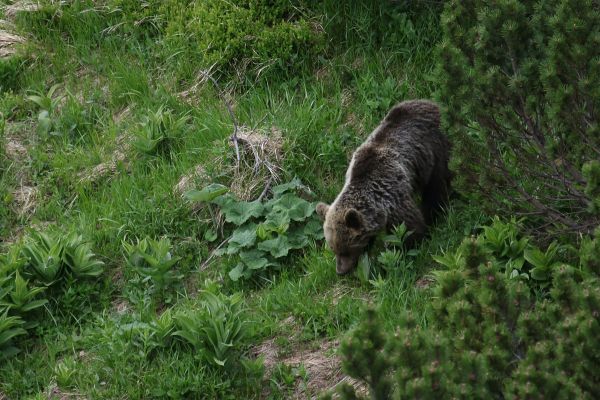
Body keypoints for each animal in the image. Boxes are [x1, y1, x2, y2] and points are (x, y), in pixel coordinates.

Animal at [318, 100, 450, 276]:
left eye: (345, 250)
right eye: (333, 249)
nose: (340, 271)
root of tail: (431, 104)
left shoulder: (394, 197)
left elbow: (407, 229)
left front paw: (397, 256)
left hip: (431, 152)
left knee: (436, 185)